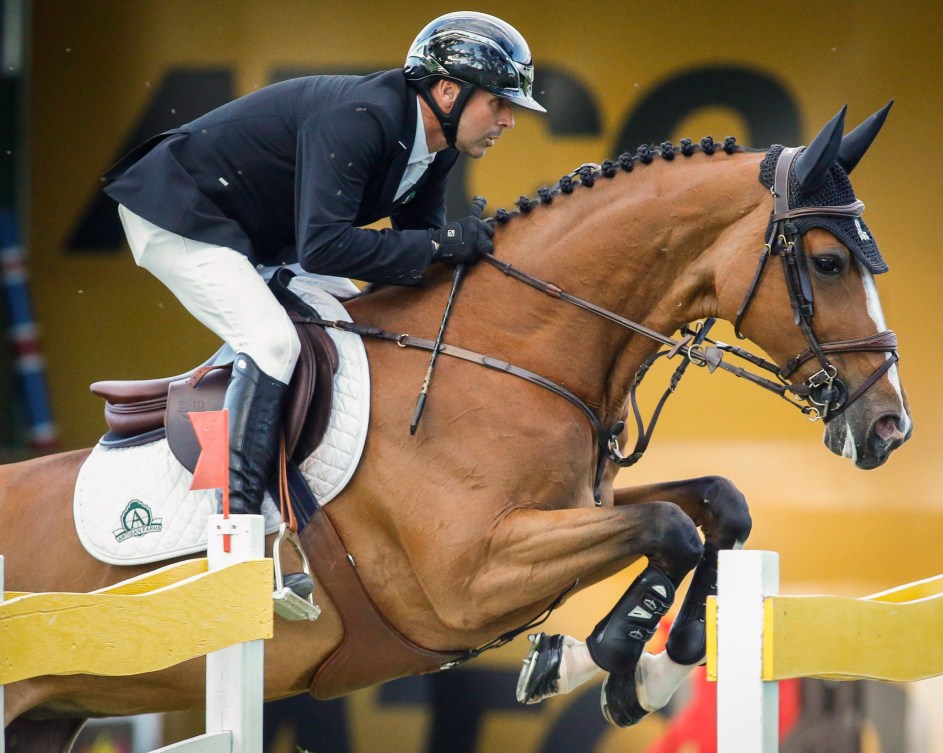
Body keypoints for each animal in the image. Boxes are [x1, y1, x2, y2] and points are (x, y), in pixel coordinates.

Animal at [3, 103, 912, 748]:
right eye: (828, 262)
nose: (889, 426)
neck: (507, 351)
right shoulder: (466, 579)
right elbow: (668, 528)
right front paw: (600, 656)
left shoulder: (568, 508)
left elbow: (717, 504)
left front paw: (651, 659)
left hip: (50, 715)